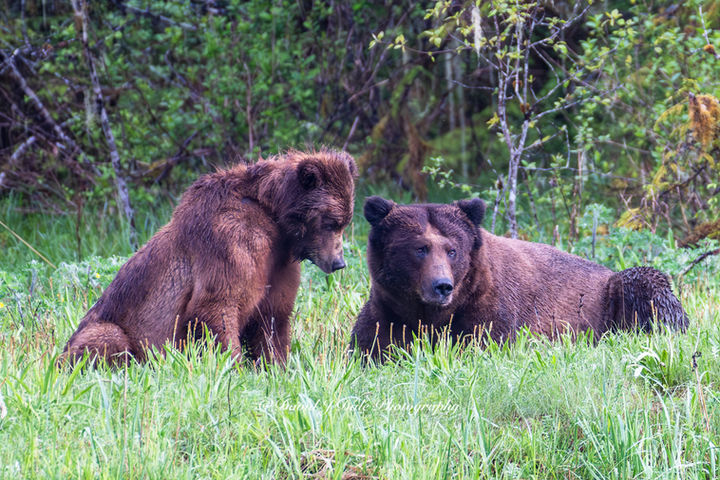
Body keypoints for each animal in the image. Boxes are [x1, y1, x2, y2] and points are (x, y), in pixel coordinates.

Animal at [61, 149, 357, 367]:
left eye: (345, 221)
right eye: (331, 221)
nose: (339, 263)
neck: (275, 220)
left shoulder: (277, 263)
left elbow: (273, 316)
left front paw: (275, 366)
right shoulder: (231, 242)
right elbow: (217, 307)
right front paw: (234, 368)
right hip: (104, 329)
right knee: (107, 337)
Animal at [349, 196, 688, 360]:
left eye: (452, 250)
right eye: (420, 248)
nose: (441, 286)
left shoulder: (490, 309)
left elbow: (482, 343)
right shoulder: (387, 312)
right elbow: (371, 347)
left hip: (612, 294)